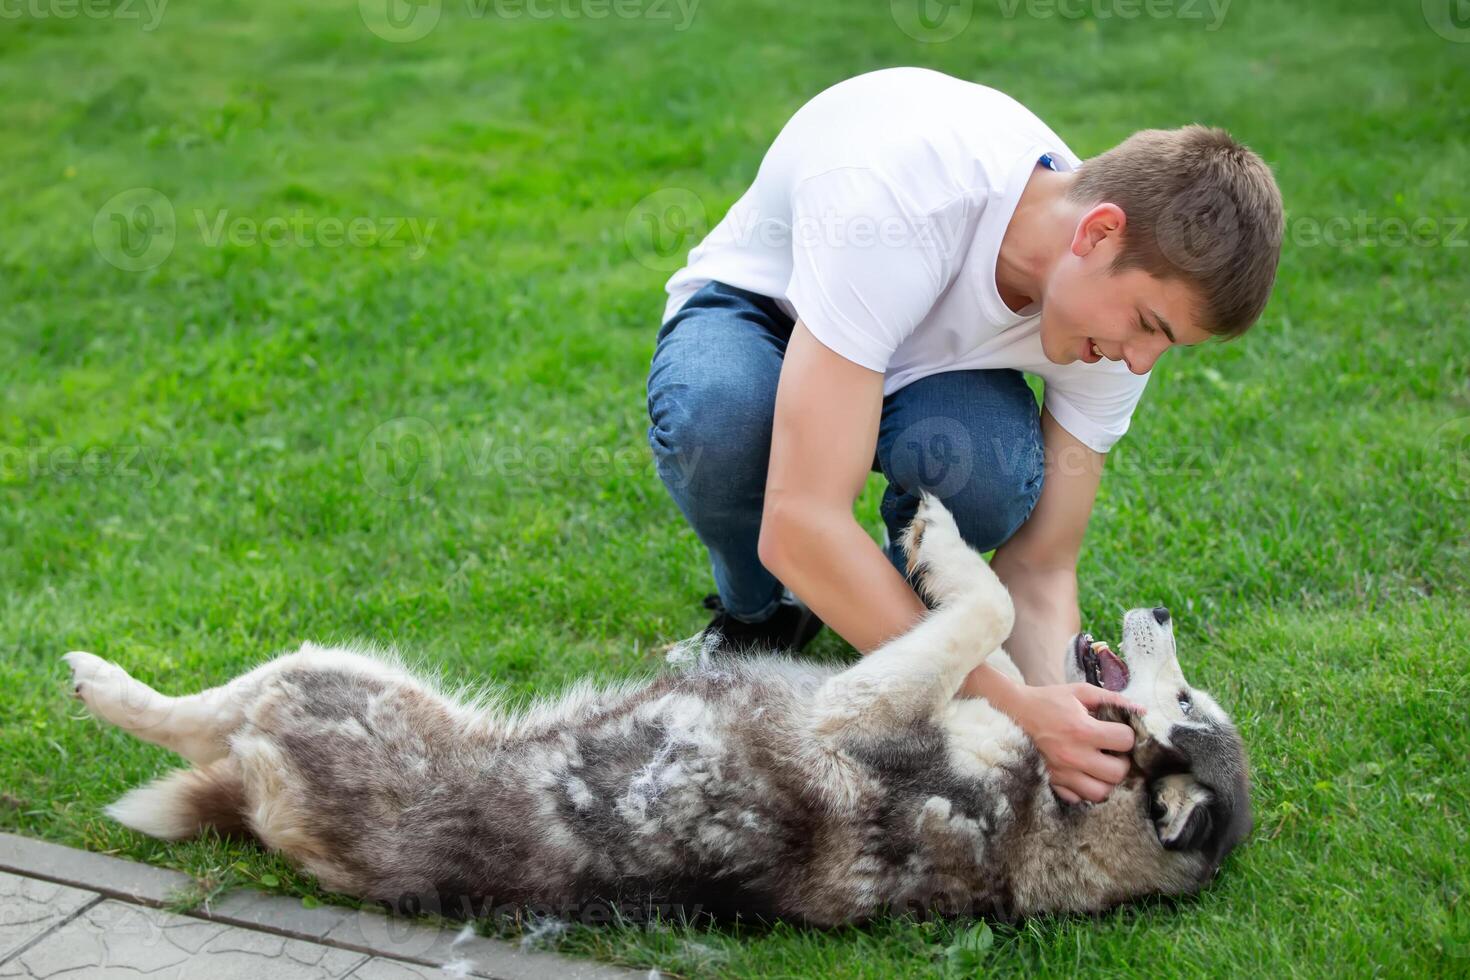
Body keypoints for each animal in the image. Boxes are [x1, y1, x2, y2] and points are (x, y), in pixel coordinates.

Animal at [63, 499, 1246, 928]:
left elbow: (986, 604)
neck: (1030, 814)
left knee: (198, 716)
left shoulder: (852, 706)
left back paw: (101, 679)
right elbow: (996, 625)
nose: (1158, 611)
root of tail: (258, 808)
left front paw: (941, 539)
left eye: (1186, 696)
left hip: (326, 675)